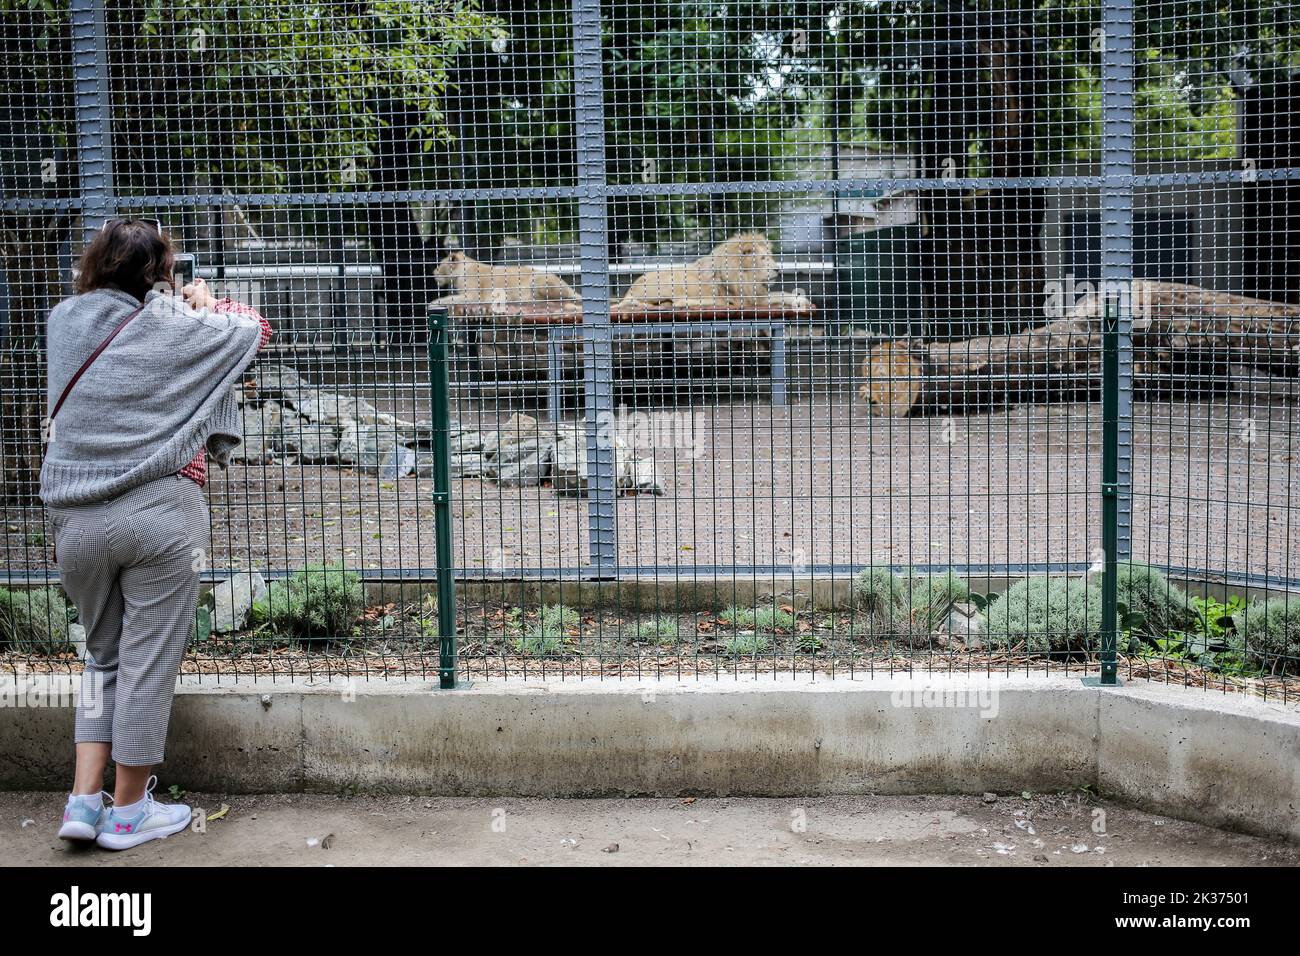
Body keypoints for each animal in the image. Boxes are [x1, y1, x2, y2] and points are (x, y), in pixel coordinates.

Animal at [430, 251, 582, 309]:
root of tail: (569, 287)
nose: (433, 272)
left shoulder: (473, 296)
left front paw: (433, 303)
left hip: (537, 280)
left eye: (439, 265)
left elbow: (450, 298)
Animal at [616, 232, 781, 309]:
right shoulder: (746, 299)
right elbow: (780, 295)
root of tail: (630, 290)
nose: (778, 269)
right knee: (678, 302)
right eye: (762, 258)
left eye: (770, 257)